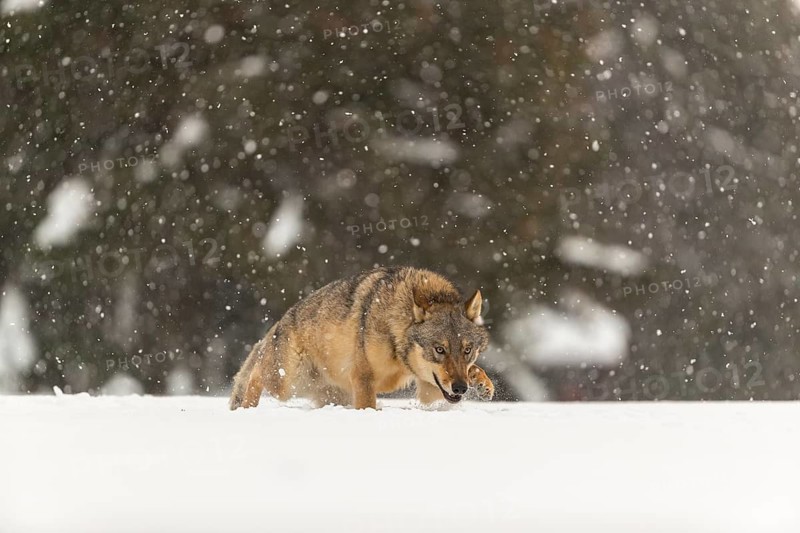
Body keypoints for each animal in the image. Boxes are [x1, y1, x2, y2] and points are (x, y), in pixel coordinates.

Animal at [229, 266, 494, 410]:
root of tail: (280, 321)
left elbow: (474, 370)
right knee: (255, 374)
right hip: (285, 382)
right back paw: (247, 409)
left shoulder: (429, 388)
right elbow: (368, 405)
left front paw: (483, 383)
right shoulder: (363, 378)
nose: (460, 388)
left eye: (467, 350)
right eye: (439, 349)